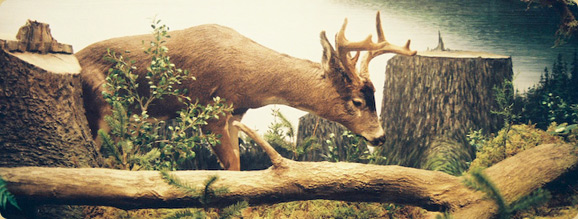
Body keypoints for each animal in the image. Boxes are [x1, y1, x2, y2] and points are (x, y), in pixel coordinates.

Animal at [79, 11, 416, 170]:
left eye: (375, 96)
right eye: (358, 101)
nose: (380, 137)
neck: (247, 81)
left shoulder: (234, 115)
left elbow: (237, 166)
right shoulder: (209, 111)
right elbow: (231, 168)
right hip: (103, 105)